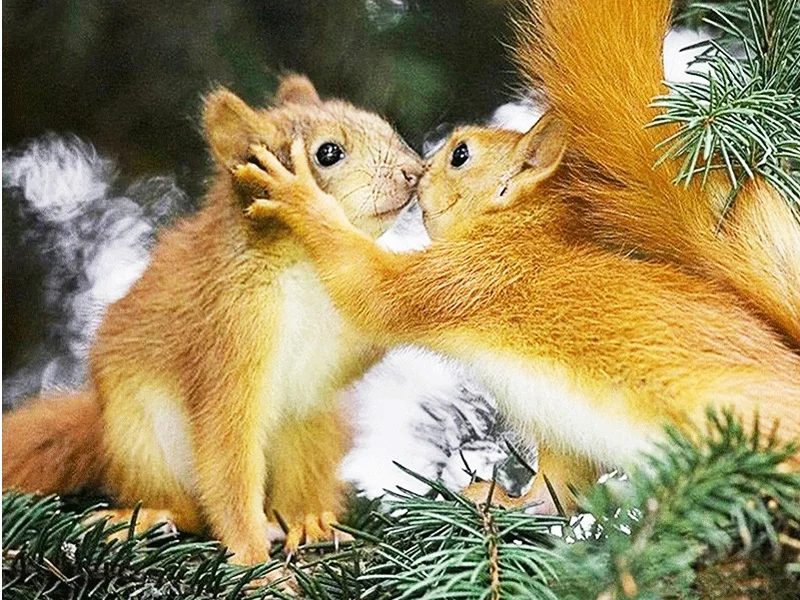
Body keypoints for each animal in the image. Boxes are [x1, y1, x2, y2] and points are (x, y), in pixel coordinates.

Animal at [2, 74, 422, 565]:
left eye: (383, 125)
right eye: (328, 153)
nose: (414, 172)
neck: (305, 267)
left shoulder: (343, 331)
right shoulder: (229, 333)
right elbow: (228, 460)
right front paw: (254, 562)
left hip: (313, 423)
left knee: (301, 482)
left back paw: (309, 522)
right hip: (141, 439)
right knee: (189, 508)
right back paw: (150, 518)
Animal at [236, 0, 800, 511]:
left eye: (460, 155)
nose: (416, 172)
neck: (517, 232)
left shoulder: (469, 275)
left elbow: (373, 289)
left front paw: (299, 196)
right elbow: (560, 491)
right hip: (564, 429)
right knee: (560, 491)